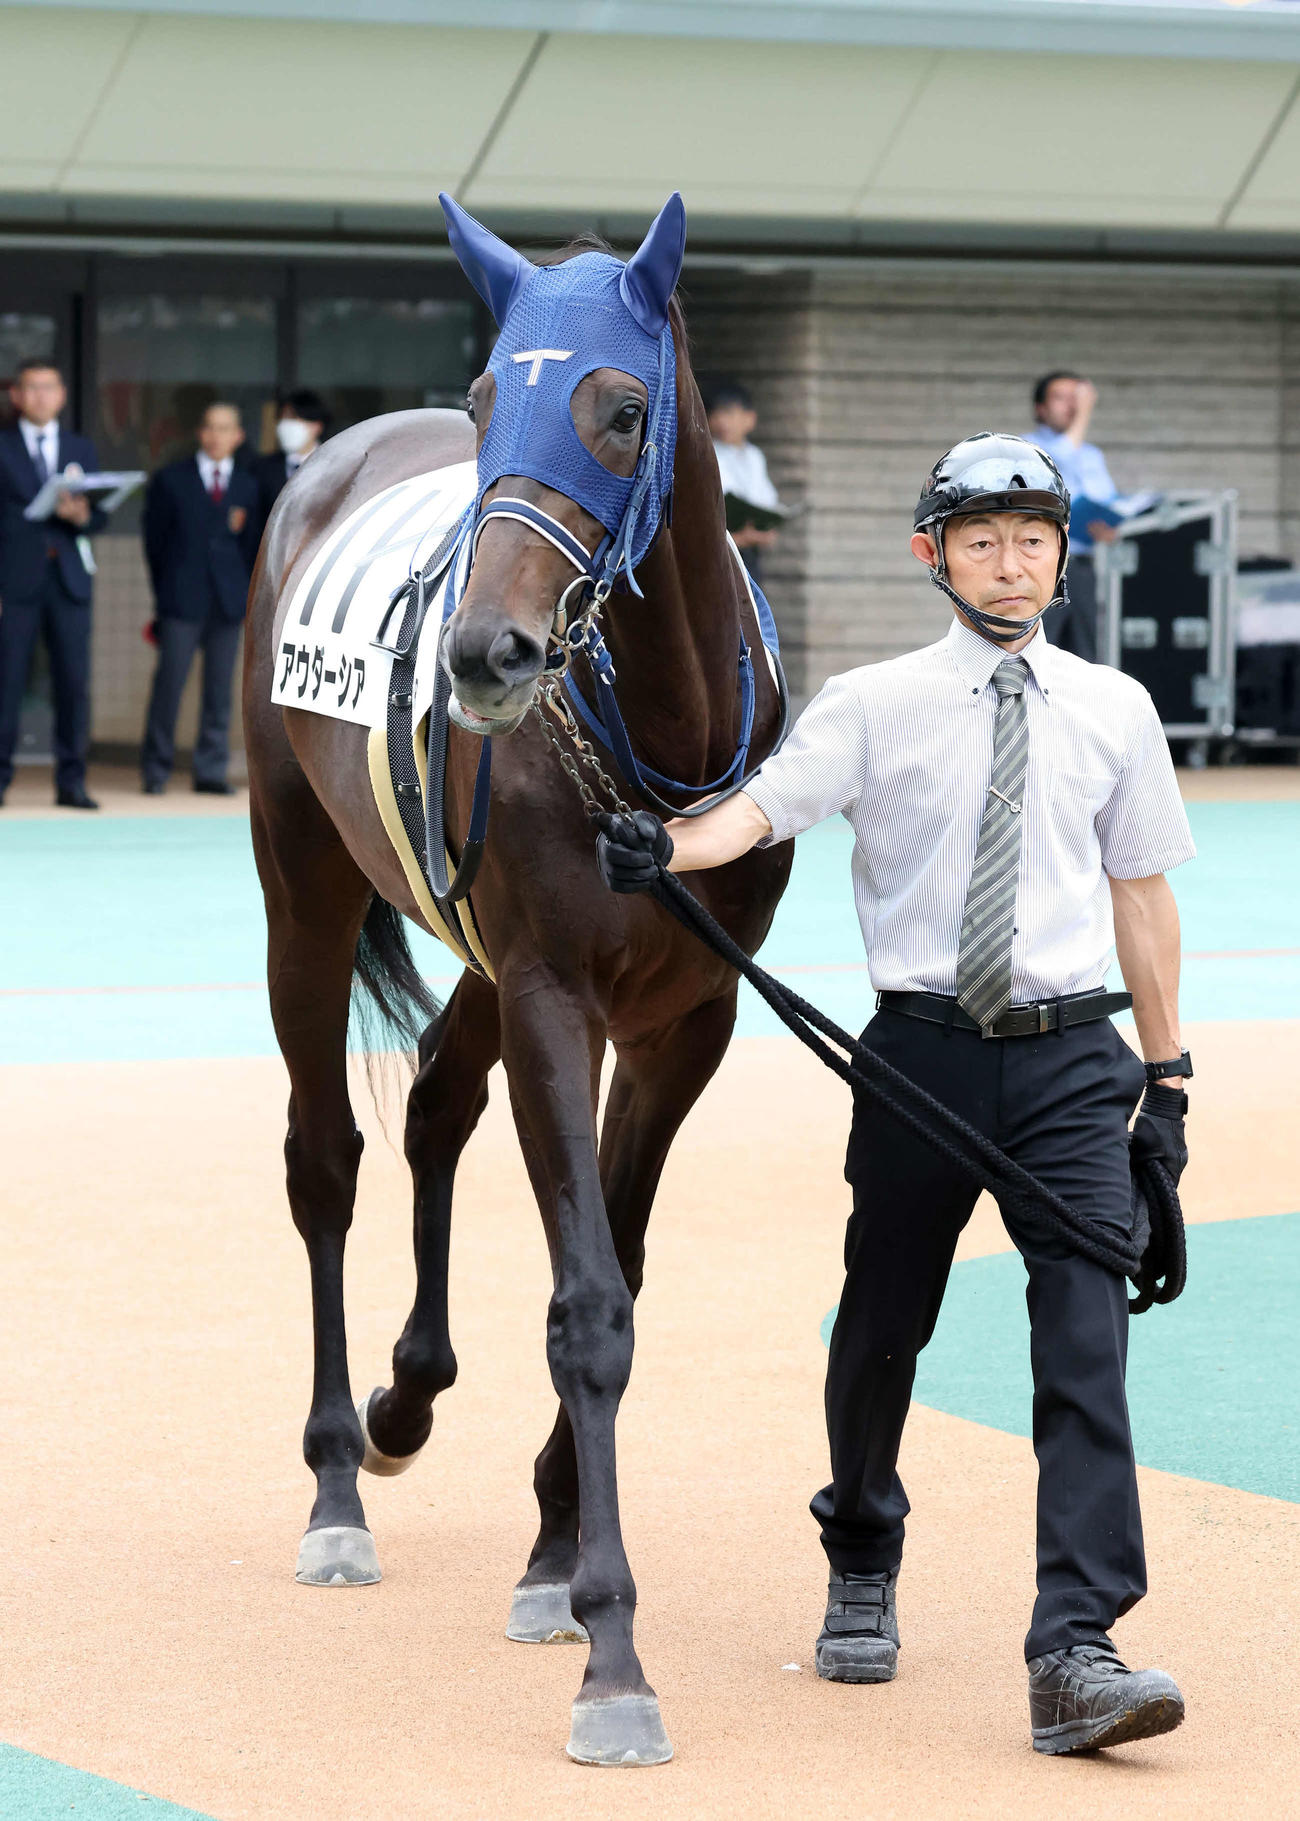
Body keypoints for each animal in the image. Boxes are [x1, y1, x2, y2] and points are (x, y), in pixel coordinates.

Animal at [243, 193, 792, 1766]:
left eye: (621, 409)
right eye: (492, 400)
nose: (488, 651)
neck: (656, 728)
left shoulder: (688, 1018)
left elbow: (622, 1263)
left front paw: (551, 1556)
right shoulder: (556, 990)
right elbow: (588, 1304)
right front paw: (613, 1652)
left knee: (437, 1099)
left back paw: (406, 1399)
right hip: (302, 883)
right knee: (326, 1157)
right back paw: (336, 1481)